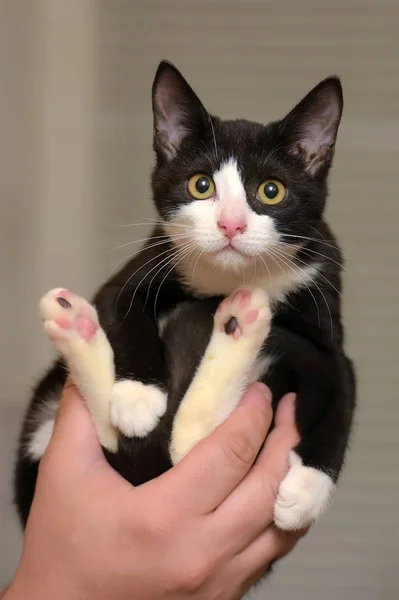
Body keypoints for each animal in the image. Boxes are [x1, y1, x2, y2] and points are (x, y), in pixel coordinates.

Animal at [13, 62, 356, 536]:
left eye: (271, 191)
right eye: (201, 185)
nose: (230, 225)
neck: (234, 278)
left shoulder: (324, 313)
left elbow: (341, 397)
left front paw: (306, 490)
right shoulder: (150, 259)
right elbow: (122, 308)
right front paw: (138, 396)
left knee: (186, 444)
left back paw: (238, 323)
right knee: (168, 447)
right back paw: (76, 323)